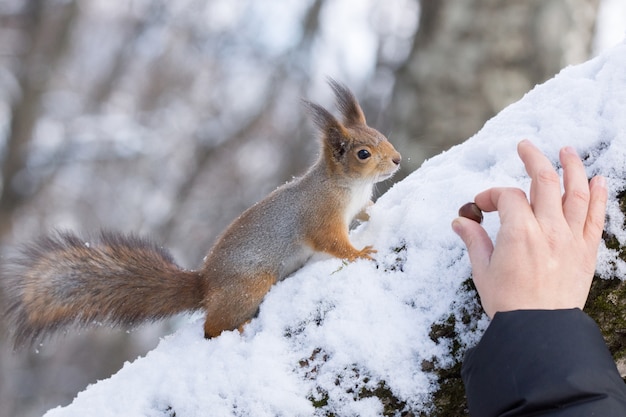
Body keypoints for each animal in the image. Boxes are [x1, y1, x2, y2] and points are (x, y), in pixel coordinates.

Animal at [2, 79, 400, 346]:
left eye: (381, 134)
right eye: (363, 153)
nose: (397, 159)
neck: (347, 186)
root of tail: (205, 285)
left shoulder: (355, 206)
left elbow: (366, 214)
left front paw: (383, 212)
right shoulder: (320, 216)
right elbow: (332, 243)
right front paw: (360, 253)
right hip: (249, 285)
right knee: (211, 327)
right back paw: (235, 327)